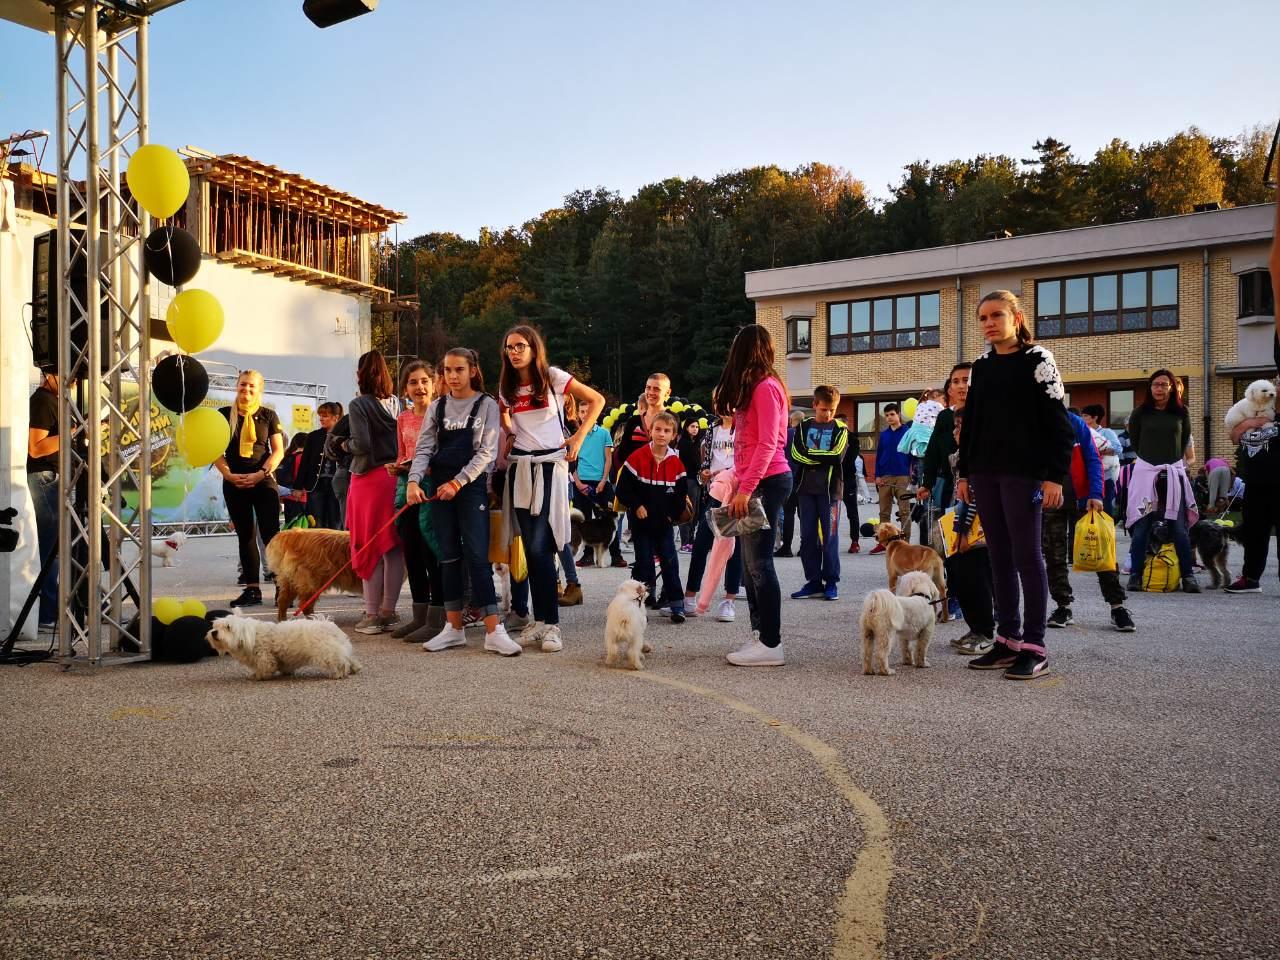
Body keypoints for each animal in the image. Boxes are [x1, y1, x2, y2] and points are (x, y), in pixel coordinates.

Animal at [206, 616, 363, 686]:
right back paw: (355, 668)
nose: (213, 633)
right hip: (341, 647)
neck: (250, 636)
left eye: (228, 627)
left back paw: (338, 674)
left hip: (328, 653)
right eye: (215, 626)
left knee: (341, 663)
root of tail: (328, 625)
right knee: (350, 659)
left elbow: (264, 668)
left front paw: (259, 676)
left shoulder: (264, 657)